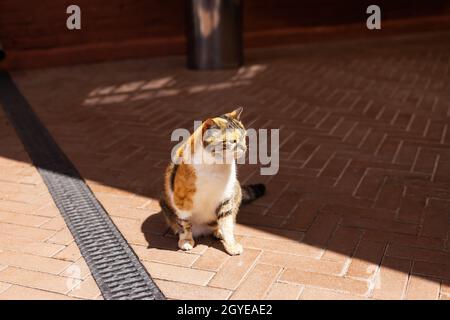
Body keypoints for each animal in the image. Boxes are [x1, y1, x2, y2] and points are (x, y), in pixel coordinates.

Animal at [159, 107, 264, 255]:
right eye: (233, 141)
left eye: (244, 137)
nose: (244, 148)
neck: (215, 165)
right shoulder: (182, 200)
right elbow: (185, 224)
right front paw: (186, 240)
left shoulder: (226, 198)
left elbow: (227, 225)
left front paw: (231, 245)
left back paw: (218, 231)